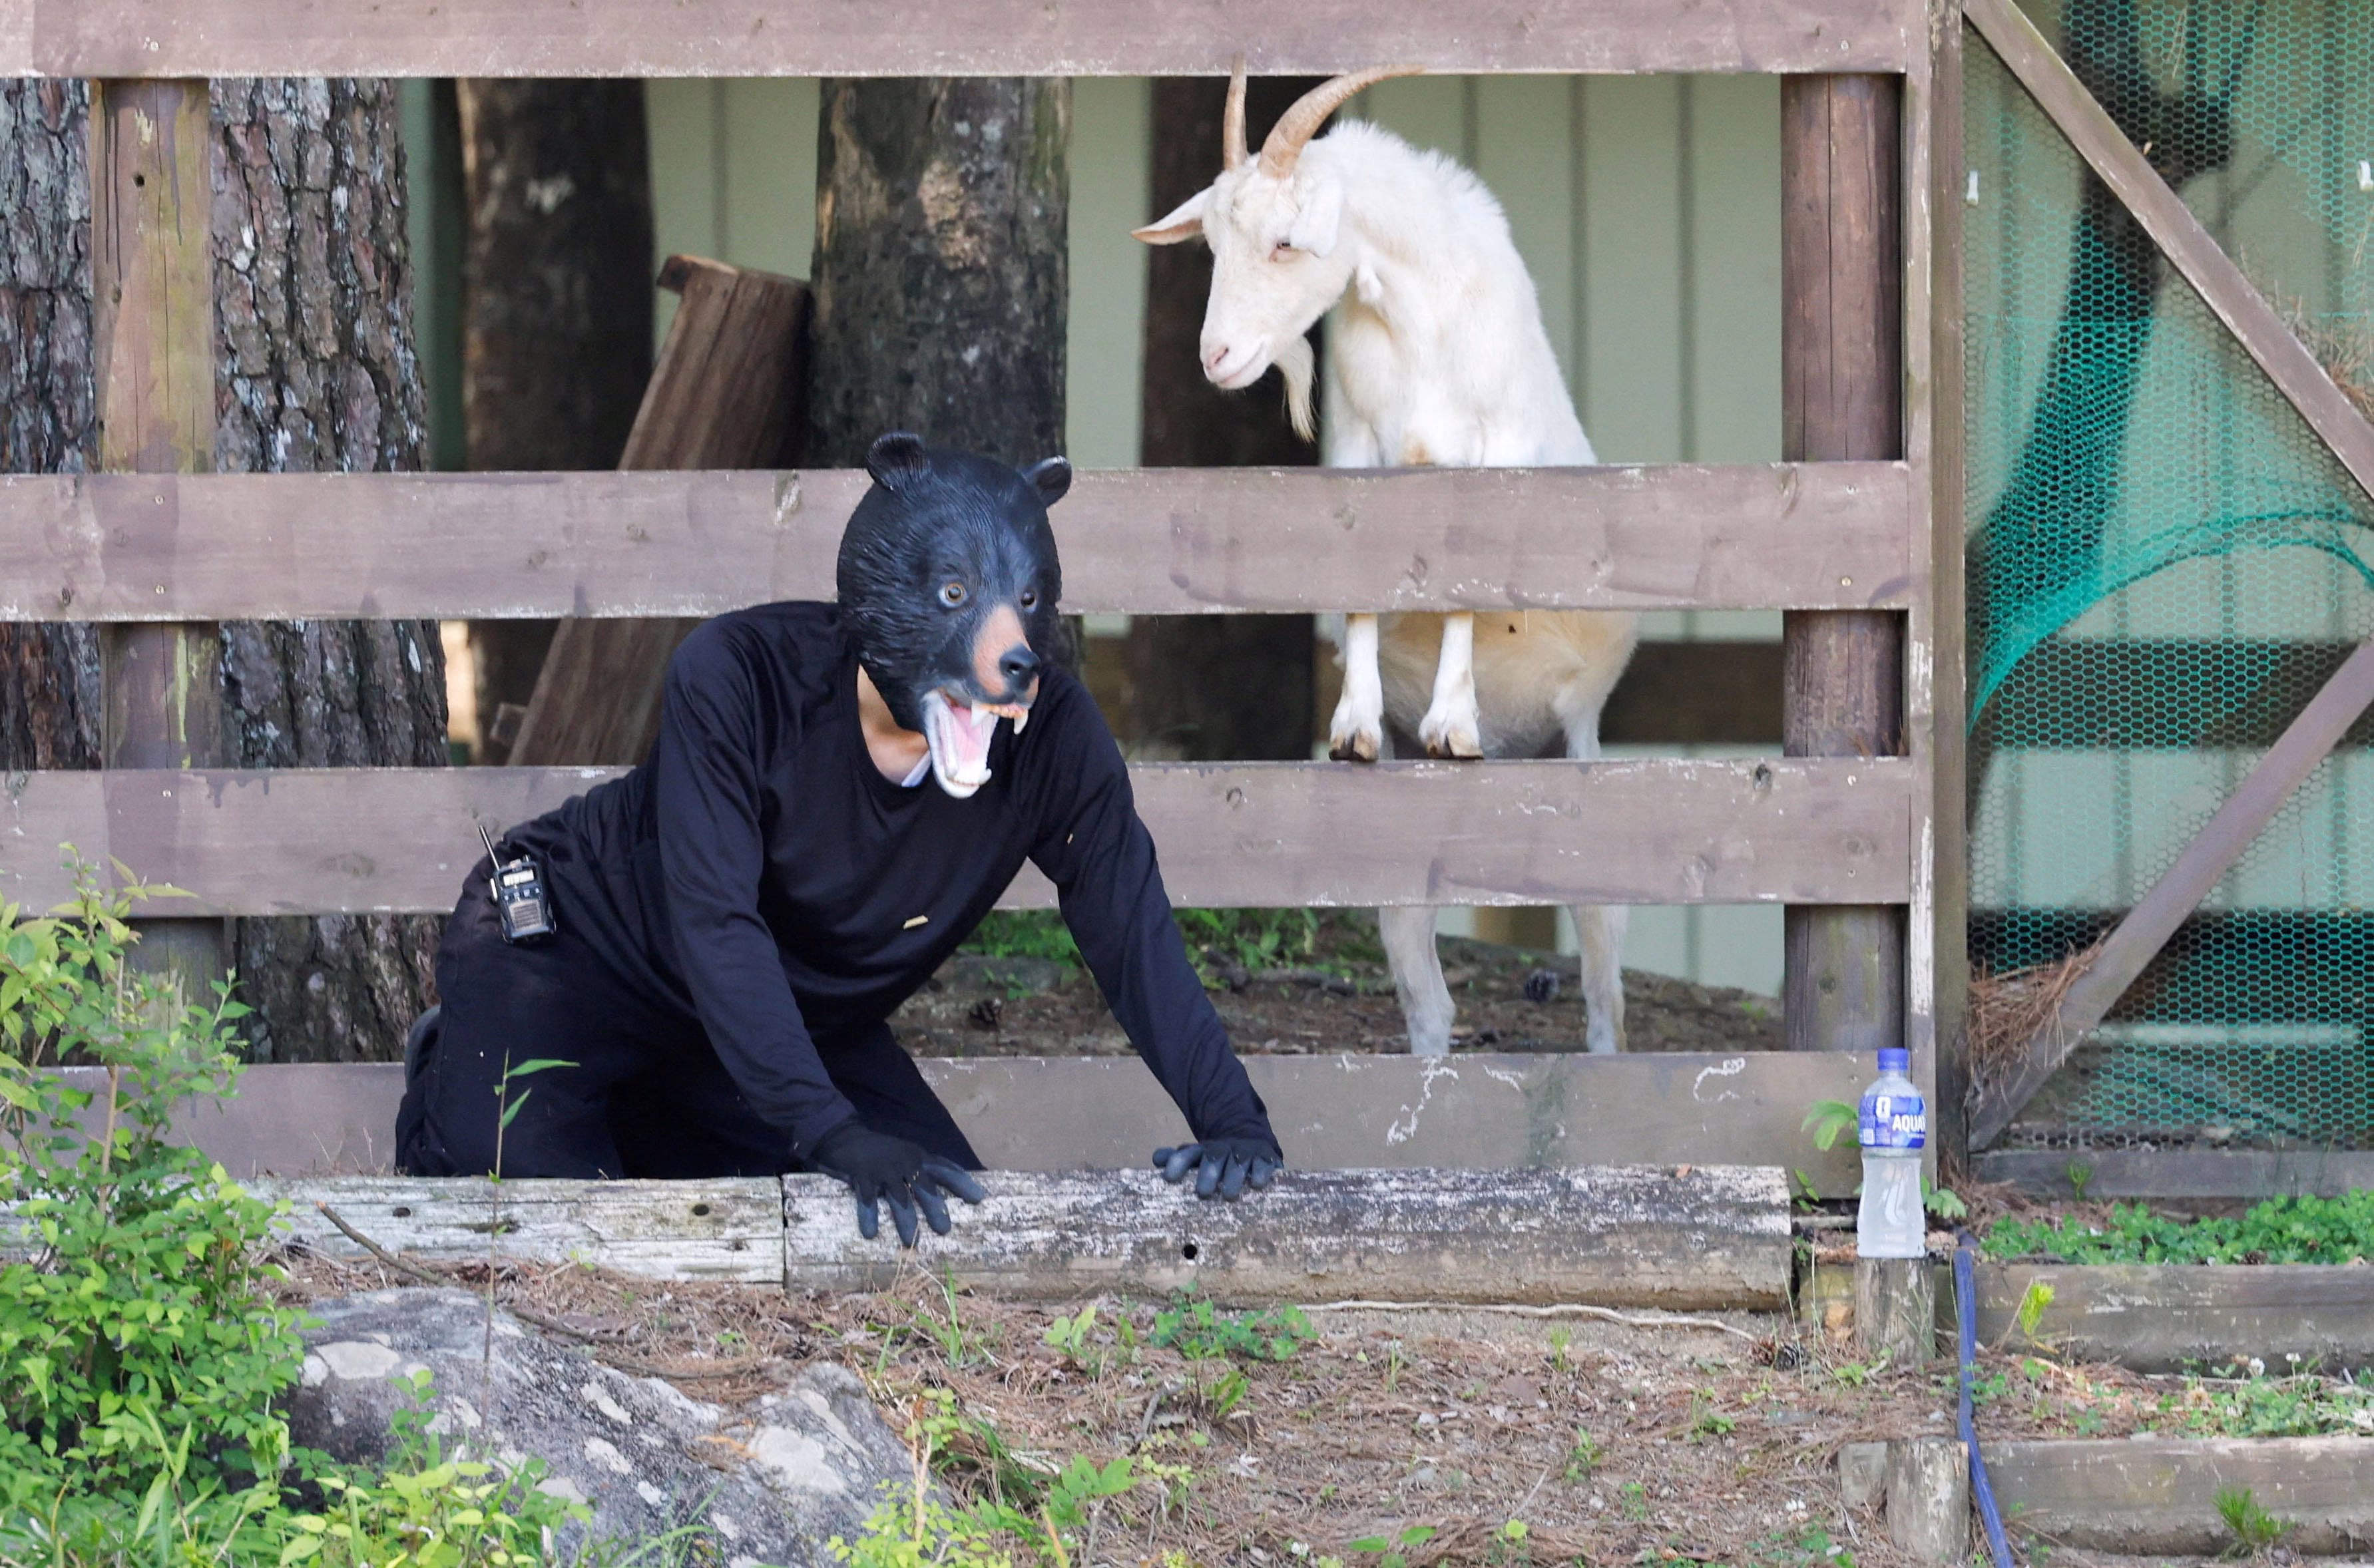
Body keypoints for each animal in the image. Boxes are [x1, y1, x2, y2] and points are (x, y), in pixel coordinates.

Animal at [1135, 64, 1638, 1055]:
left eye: (1284, 241)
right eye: (1210, 240)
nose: (1216, 356)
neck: (1421, 321)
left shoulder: (1489, 457)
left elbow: (1462, 588)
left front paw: (1454, 725)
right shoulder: (1357, 454)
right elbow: (1361, 583)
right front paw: (1355, 725)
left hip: (1578, 759)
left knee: (1602, 965)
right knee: (1424, 985)